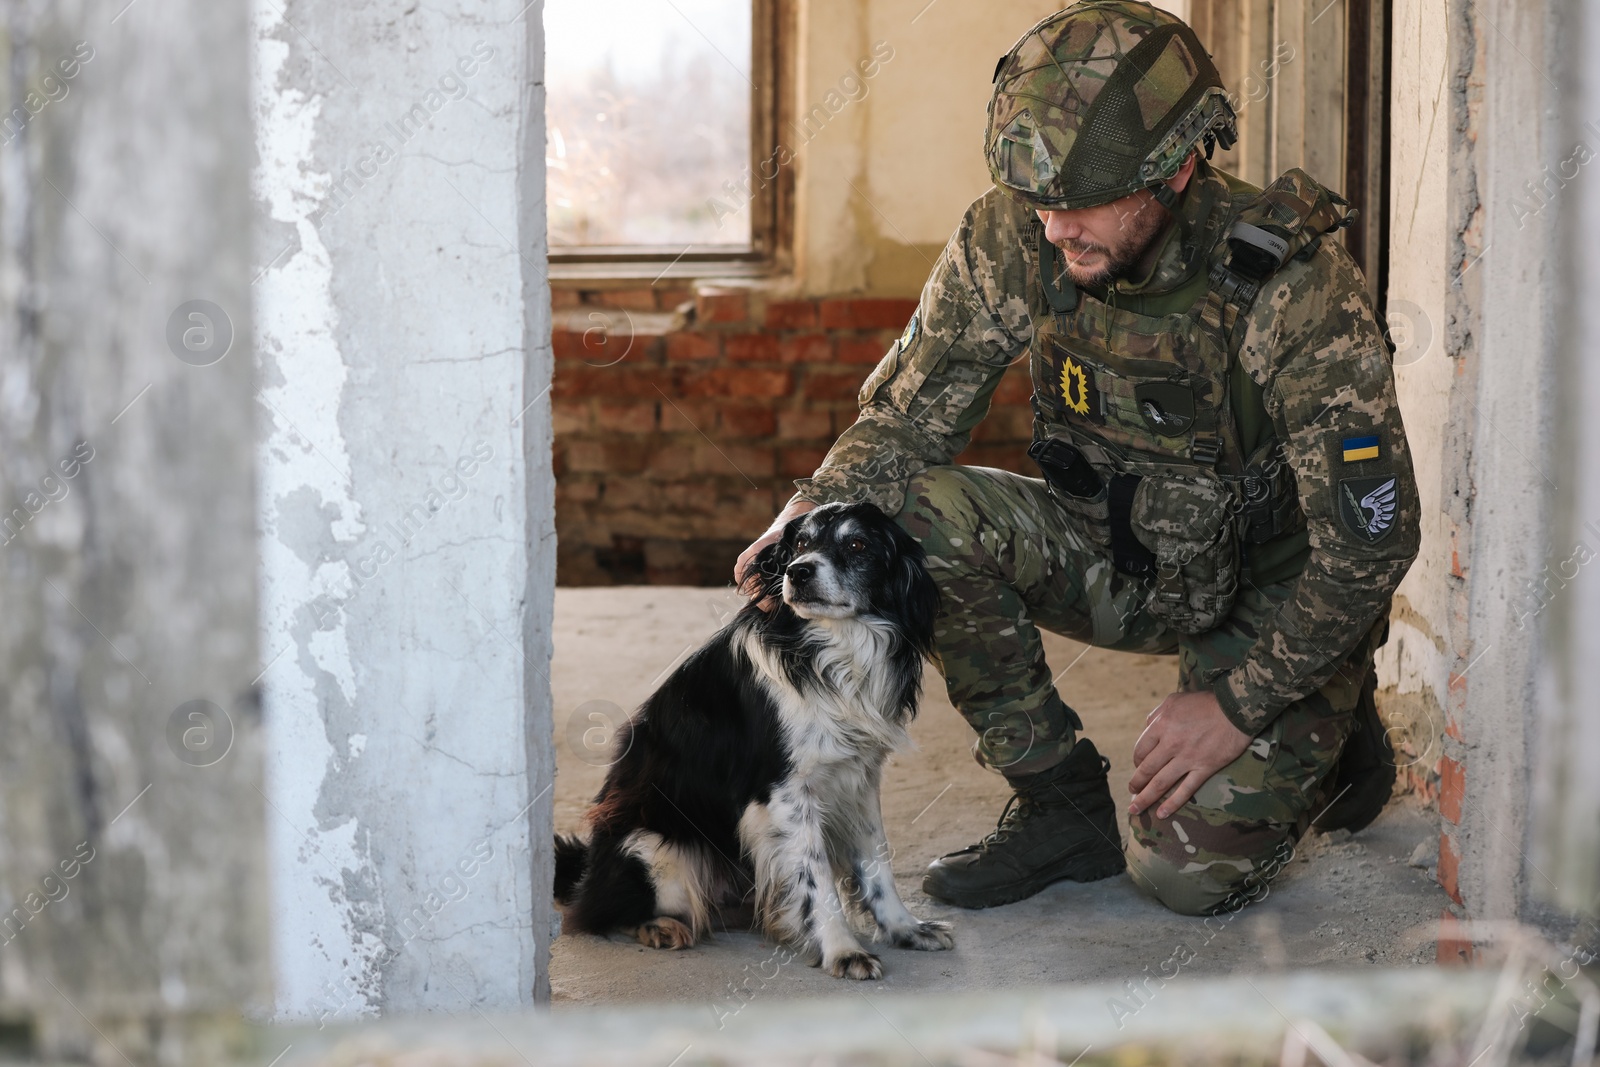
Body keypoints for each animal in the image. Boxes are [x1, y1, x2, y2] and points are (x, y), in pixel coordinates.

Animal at [550, 505, 947, 979]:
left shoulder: (859, 779)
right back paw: (659, 926)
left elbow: (877, 861)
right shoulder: (784, 793)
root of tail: (587, 866)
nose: (798, 572)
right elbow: (818, 879)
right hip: (653, 847)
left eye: (857, 545)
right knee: (600, 913)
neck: (833, 650)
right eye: (799, 544)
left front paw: (905, 928)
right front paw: (842, 949)